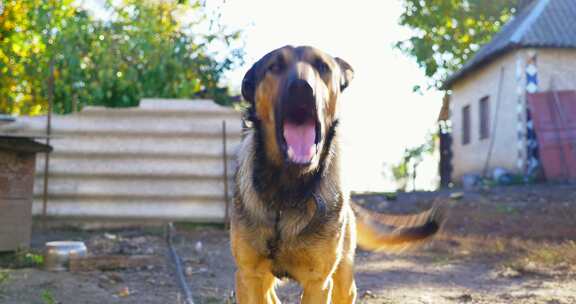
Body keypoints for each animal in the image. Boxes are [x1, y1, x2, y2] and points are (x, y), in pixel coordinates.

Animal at [231, 45, 446, 304]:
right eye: (275, 66)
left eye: (322, 67)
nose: (302, 88)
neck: (288, 190)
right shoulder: (249, 276)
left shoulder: (318, 281)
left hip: (342, 273)